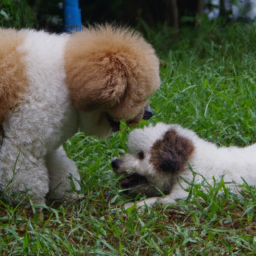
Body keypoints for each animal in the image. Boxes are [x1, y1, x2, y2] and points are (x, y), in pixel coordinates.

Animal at [111, 122, 256, 208]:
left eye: (140, 155)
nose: (114, 163)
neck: (189, 162)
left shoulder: (187, 194)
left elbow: (158, 200)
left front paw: (131, 206)